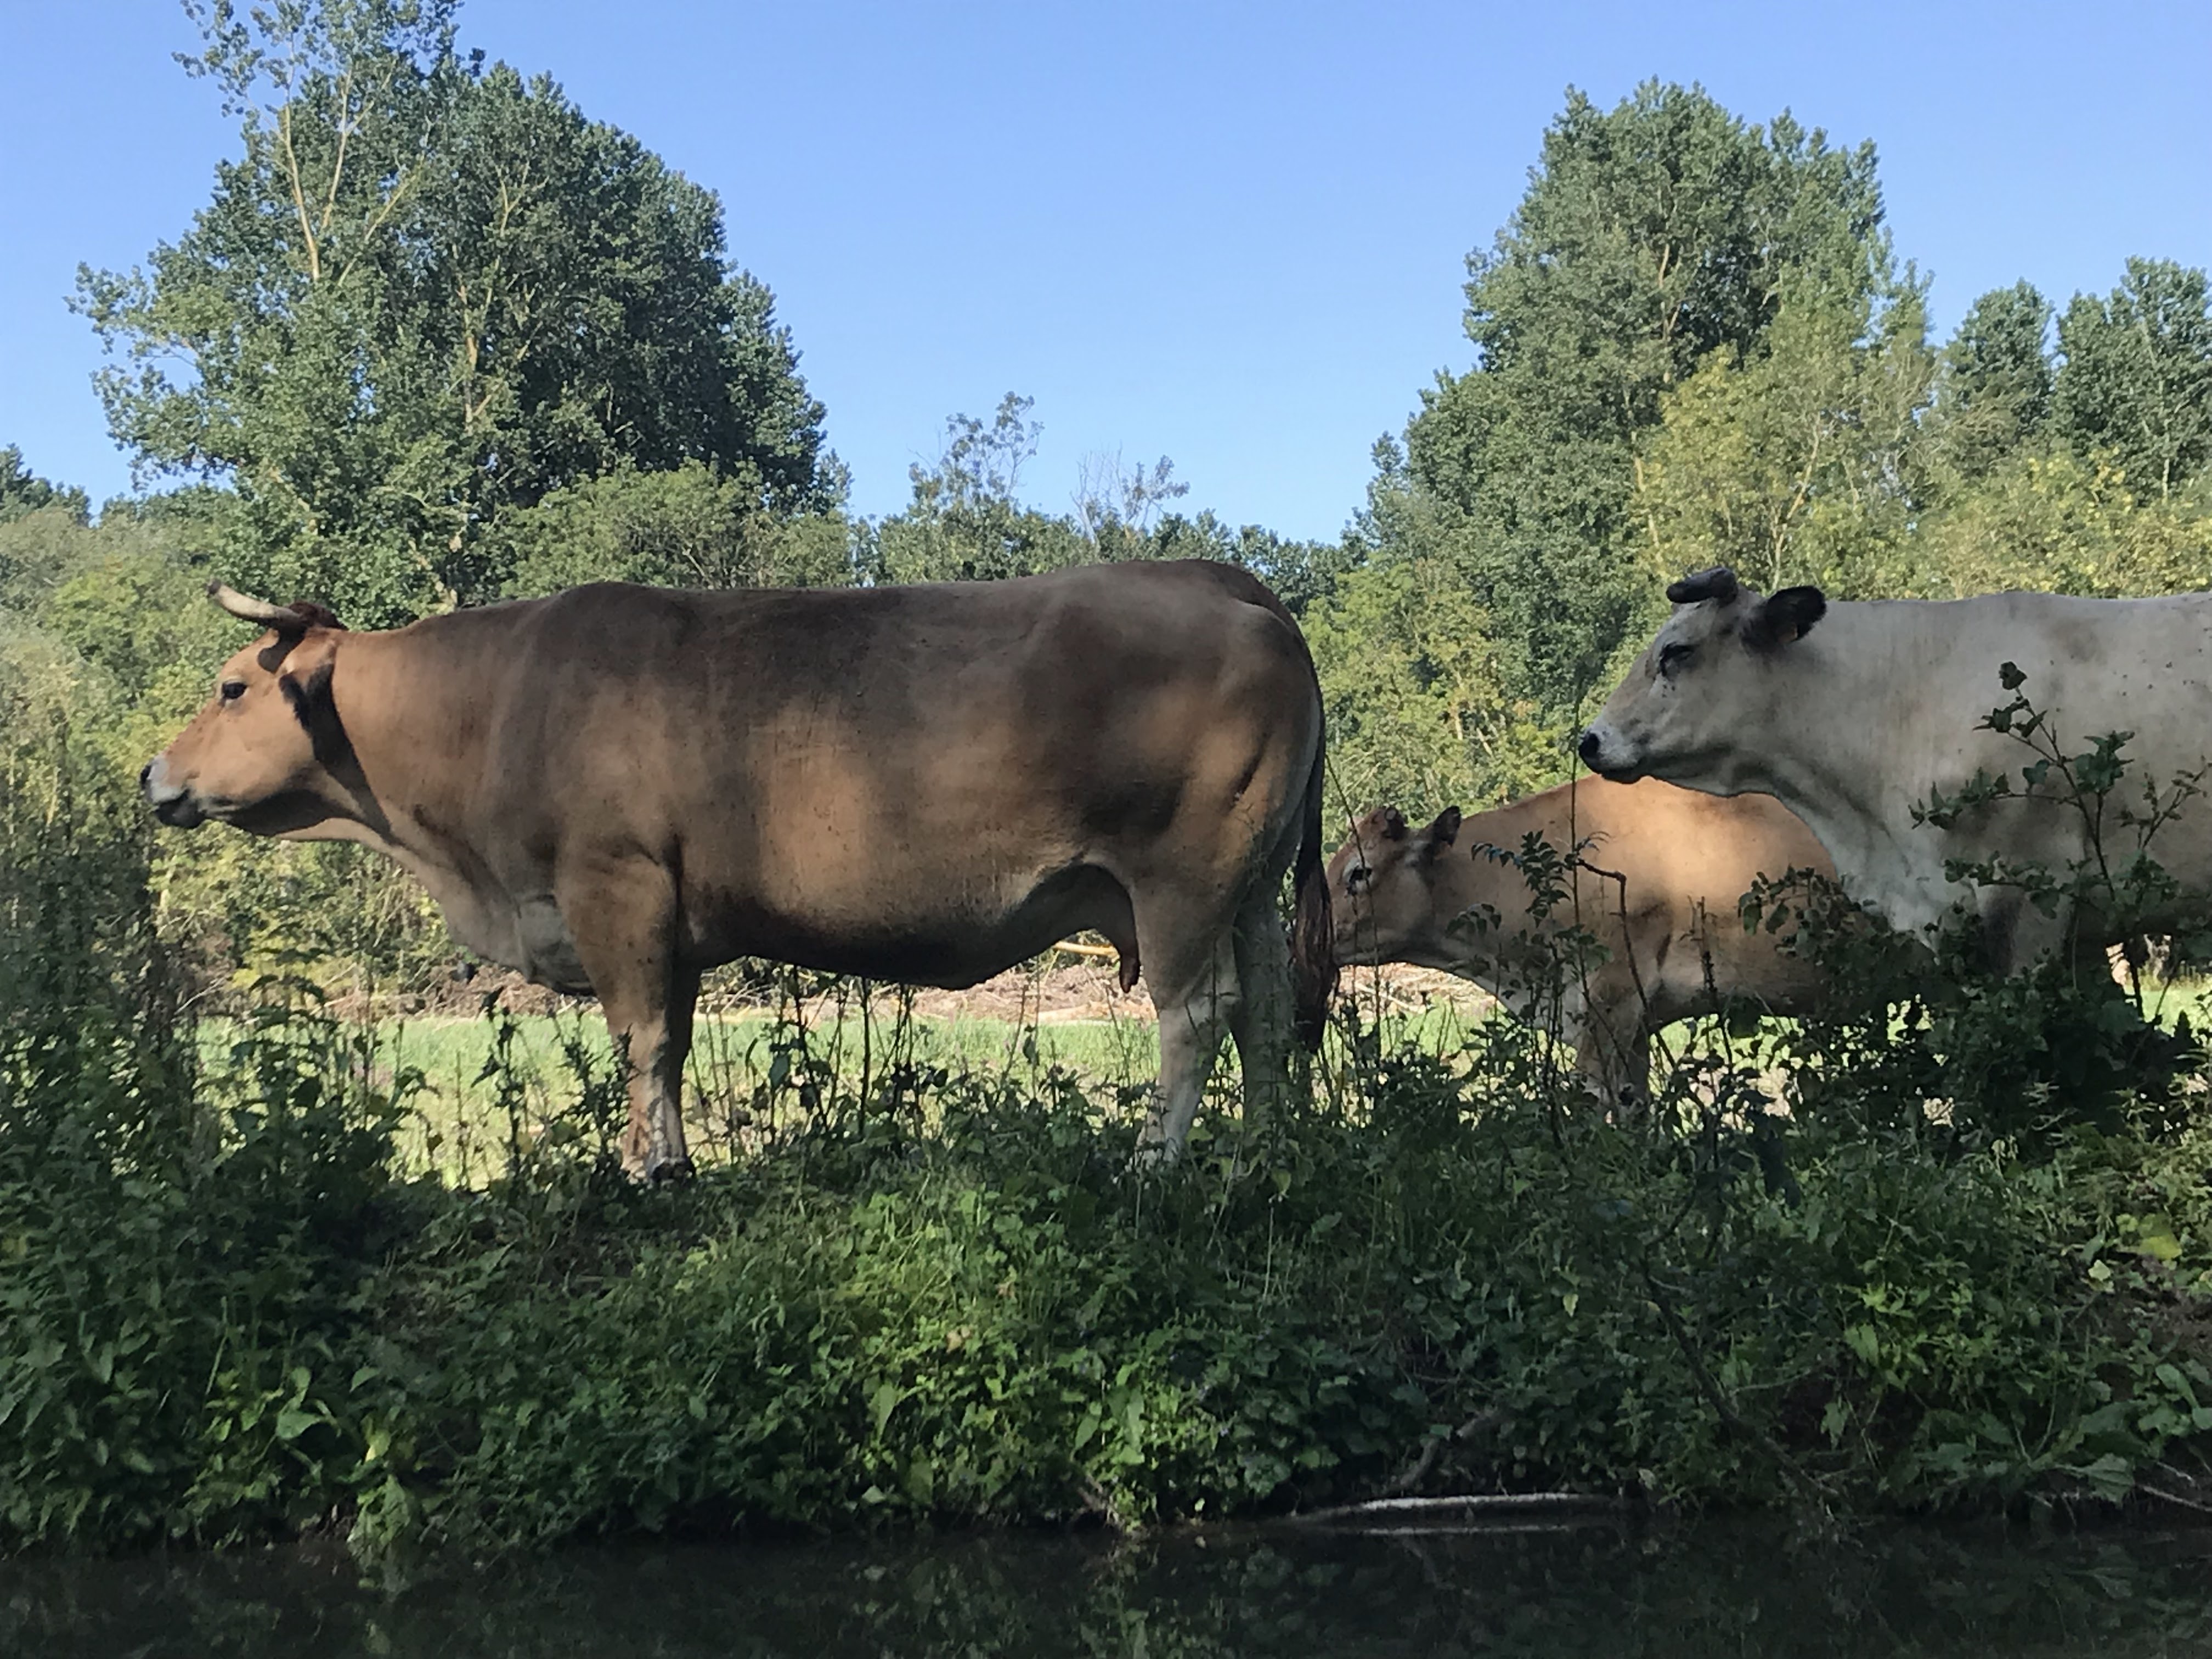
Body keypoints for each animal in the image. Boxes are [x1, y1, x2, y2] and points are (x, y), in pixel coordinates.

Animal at [142, 563, 1333, 1179]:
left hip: (1180, 877)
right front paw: (673, 1163)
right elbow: (664, 1044)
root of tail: (1210, 575)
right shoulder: (666, 915)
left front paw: (637, 1169)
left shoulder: (611, 884)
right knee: (1267, 1013)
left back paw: (1155, 1162)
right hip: (1251, 886)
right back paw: (1263, 1152)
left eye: (232, 686)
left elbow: (637, 1037)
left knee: (1196, 1013)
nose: (153, 773)